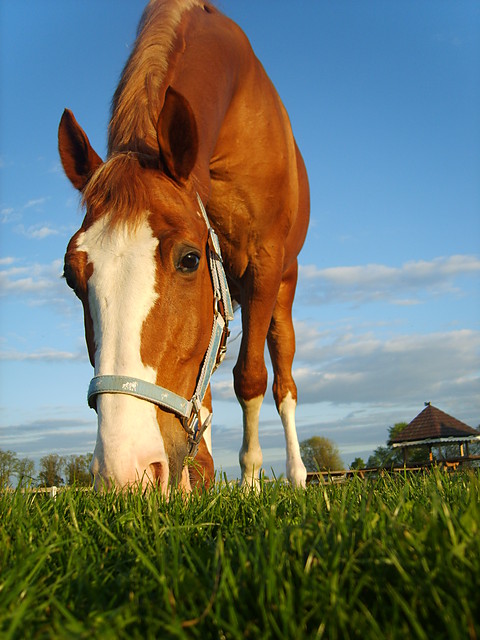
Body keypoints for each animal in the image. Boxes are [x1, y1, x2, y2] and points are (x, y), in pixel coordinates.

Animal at [60, 0, 310, 492]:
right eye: (71, 276)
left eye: (189, 259)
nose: (127, 475)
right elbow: (204, 388)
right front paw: (198, 480)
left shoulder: (263, 265)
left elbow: (250, 378)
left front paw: (250, 483)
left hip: (282, 289)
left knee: (283, 383)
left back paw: (295, 476)